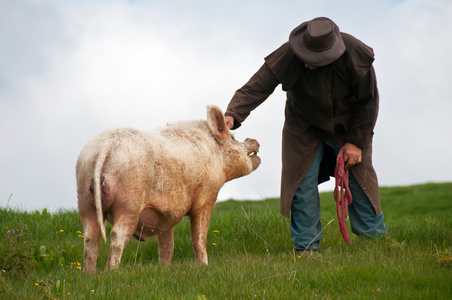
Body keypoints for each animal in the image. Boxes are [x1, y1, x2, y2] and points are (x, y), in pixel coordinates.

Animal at [77, 104, 262, 274]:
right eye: (233, 139)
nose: (254, 140)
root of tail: (106, 146)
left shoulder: (165, 216)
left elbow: (167, 245)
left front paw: (165, 268)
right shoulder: (206, 196)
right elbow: (199, 237)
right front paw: (203, 266)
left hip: (84, 197)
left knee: (90, 239)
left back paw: (89, 275)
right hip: (129, 201)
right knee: (117, 235)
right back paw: (113, 272)